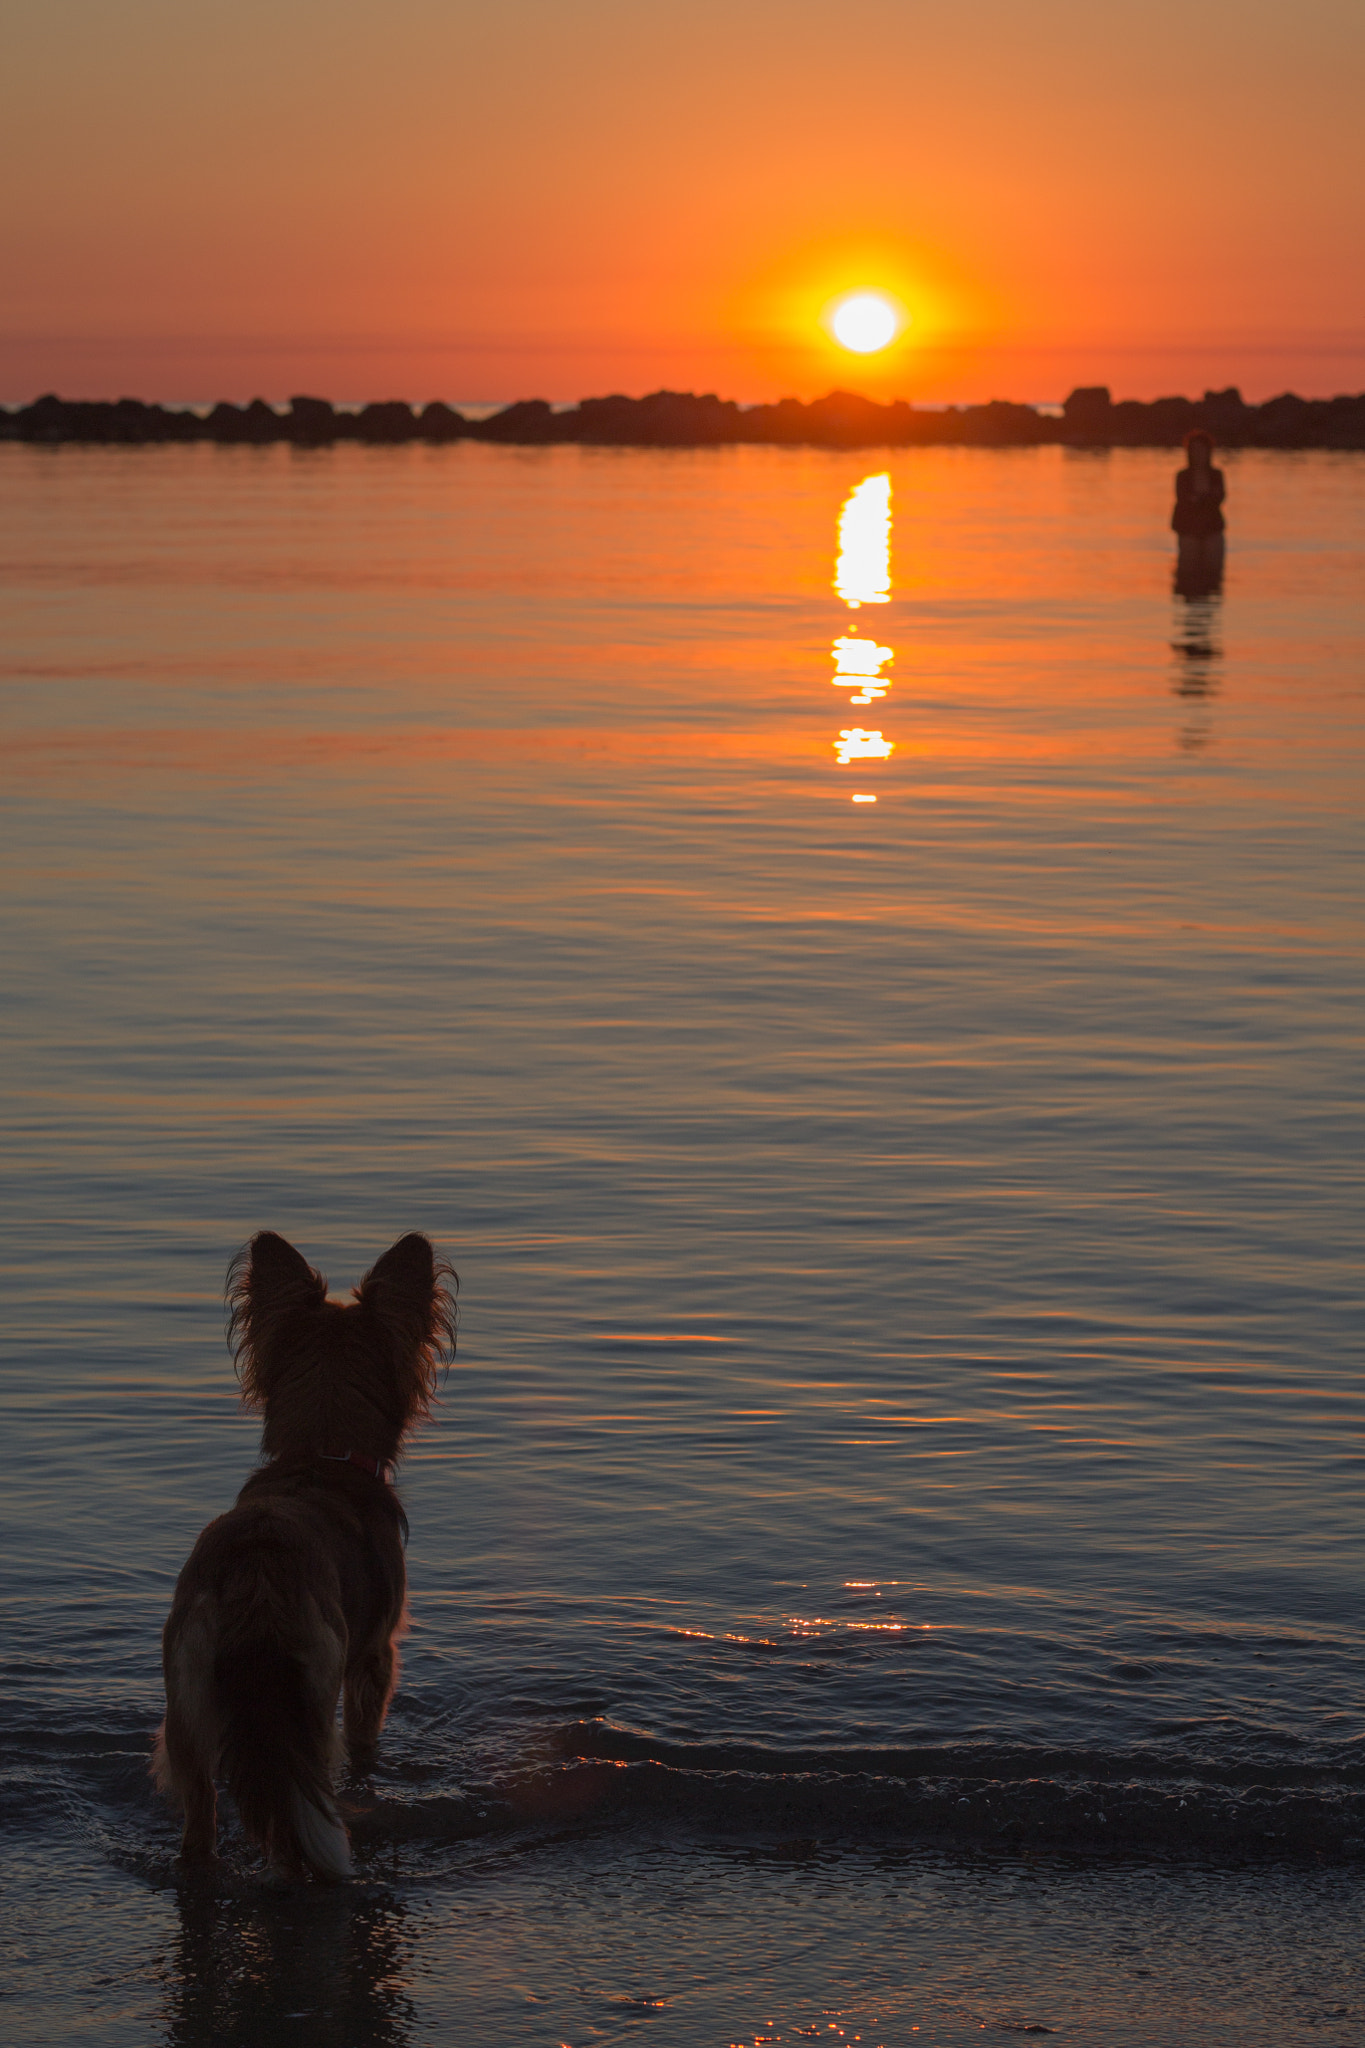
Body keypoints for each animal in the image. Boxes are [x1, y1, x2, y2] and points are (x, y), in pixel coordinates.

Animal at [152, 1228, 456, 1875]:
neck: (321, 1456)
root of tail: (256, 1567)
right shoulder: (374, 1658)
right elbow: (368, 1740)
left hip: (185, 1715)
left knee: (201, 1823)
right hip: (314, 1701)